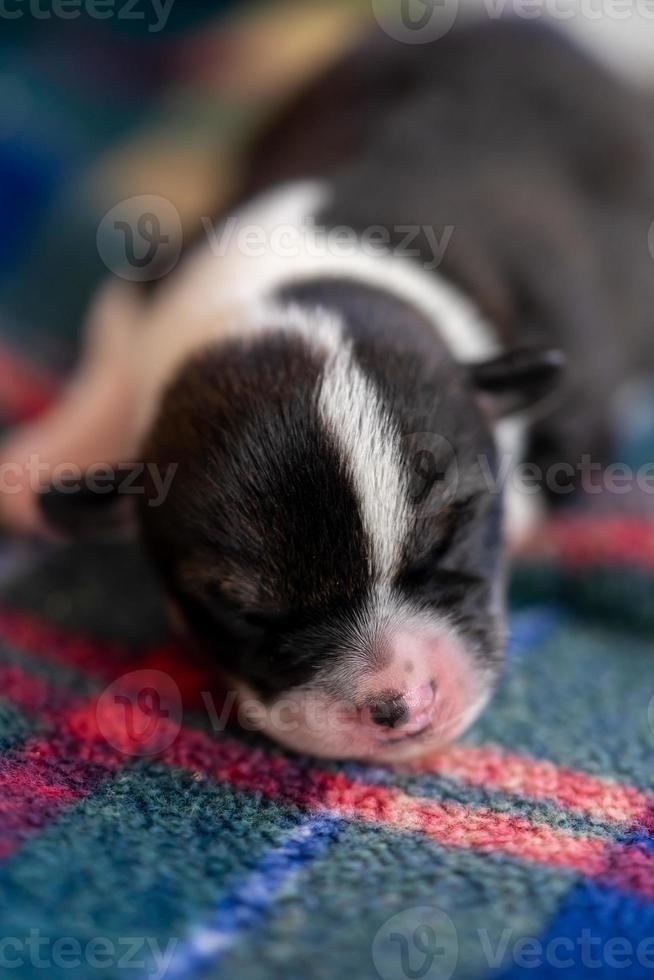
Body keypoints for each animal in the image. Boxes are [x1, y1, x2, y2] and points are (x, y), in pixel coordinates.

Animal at [2, 19, 652, 760]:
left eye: (451, 534)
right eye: (246, 609)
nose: (400, 706)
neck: (296, 290)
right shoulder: (146, 290)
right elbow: (110, 360)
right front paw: (47, 457)